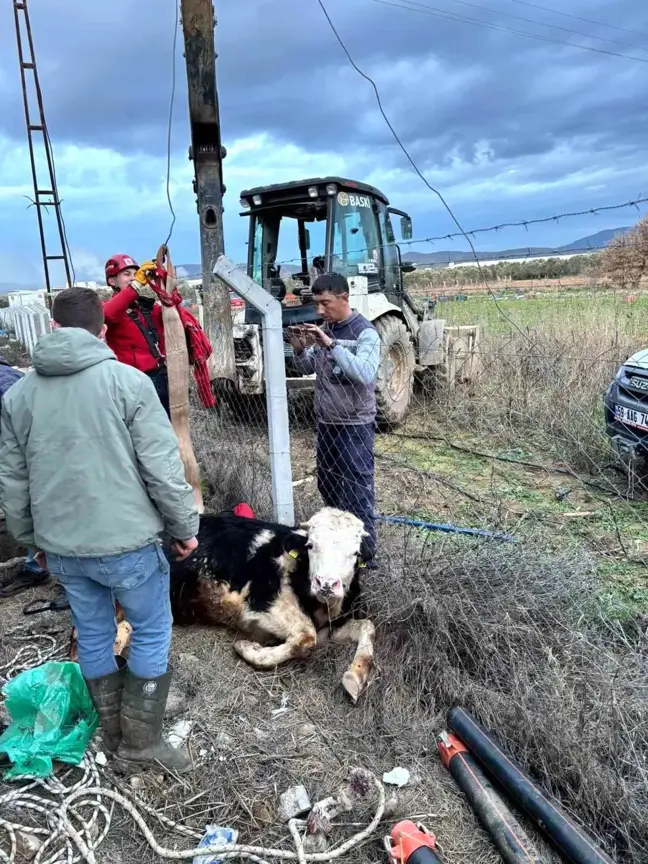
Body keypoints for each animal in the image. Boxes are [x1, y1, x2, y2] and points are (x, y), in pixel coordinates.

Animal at [170, 506, 378, 704]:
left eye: (356, 553)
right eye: (310, 545)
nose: (326, 584)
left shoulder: (331, 625)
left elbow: (367, 626)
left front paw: (354, 678)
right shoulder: (259, 603)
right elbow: (306, 636)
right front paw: (247, 648)